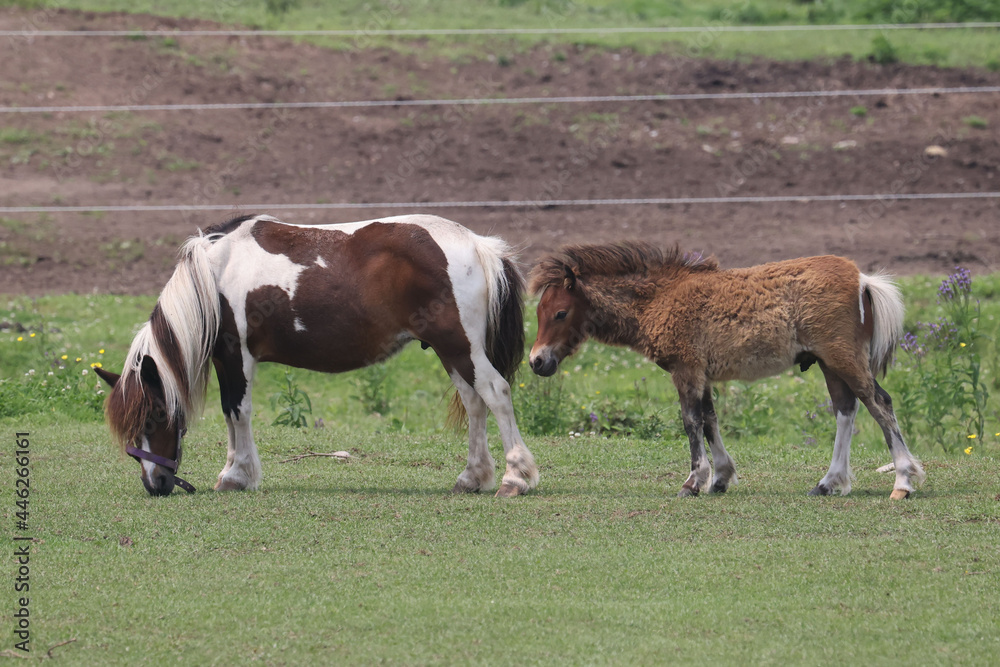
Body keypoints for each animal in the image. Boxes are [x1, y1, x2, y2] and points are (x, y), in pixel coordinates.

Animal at [97, 214, 540, 496]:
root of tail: (479, 245)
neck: (214, 274)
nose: (155, 485)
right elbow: (229, 413)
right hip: (453, 351)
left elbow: (237, 412)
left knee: (496, 394)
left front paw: (236, 475)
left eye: (154, 416)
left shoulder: (237, 356)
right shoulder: (227, 360)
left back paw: (514, 478)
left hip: (460, 345)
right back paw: (472, 478)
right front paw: (236, 473)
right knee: (475, 403)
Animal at [528, 243, 924, 498]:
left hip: (842, 356)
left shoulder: (686, 369)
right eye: (538, 312)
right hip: (829, 362)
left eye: (560, 313)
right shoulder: (703, 373)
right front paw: (720, 478)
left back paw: (902, 482)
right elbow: (710, 419)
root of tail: (863, 279)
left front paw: (693, 482)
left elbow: (691, 421)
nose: (536, 361)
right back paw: (828, 483)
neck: (659, 298)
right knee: (846, 409)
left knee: (878, 403)